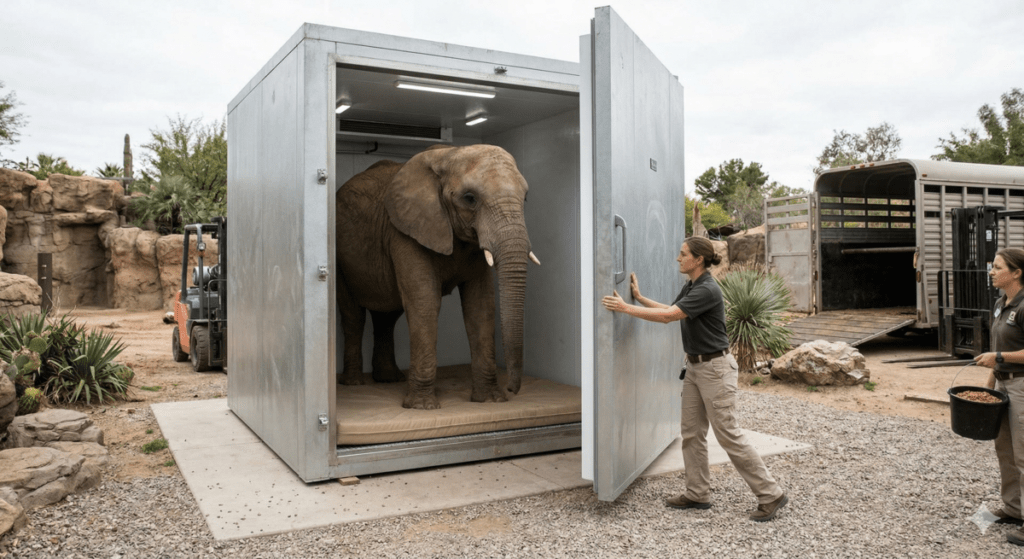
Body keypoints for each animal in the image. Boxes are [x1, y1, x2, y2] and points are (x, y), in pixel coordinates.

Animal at [335, 144, 540, 410]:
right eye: (469, 198)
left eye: (525, 198)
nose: (513, 390)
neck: (449, 153)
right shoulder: (404, 231)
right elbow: (424, 301)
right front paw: (422, 407)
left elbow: (480, 305)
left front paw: (490, 400)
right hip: (340, 259)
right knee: (353, 317)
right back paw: (354, 383)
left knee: (387, 316)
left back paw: (389, 380)